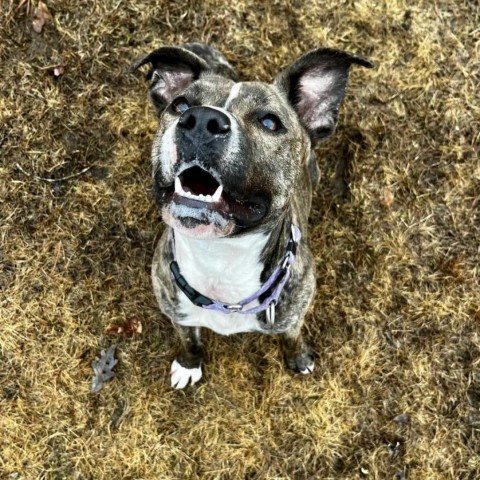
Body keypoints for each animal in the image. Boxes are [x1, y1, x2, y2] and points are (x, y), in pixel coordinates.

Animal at [130, 42, 372, 390]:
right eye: (181, 104)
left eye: (270, 123)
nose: (201, 120)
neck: (219, 258)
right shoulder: (177, 313)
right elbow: (189, 339)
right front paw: (189, 364)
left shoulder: (292, 314)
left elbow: (292, 335)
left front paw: (298, 357)